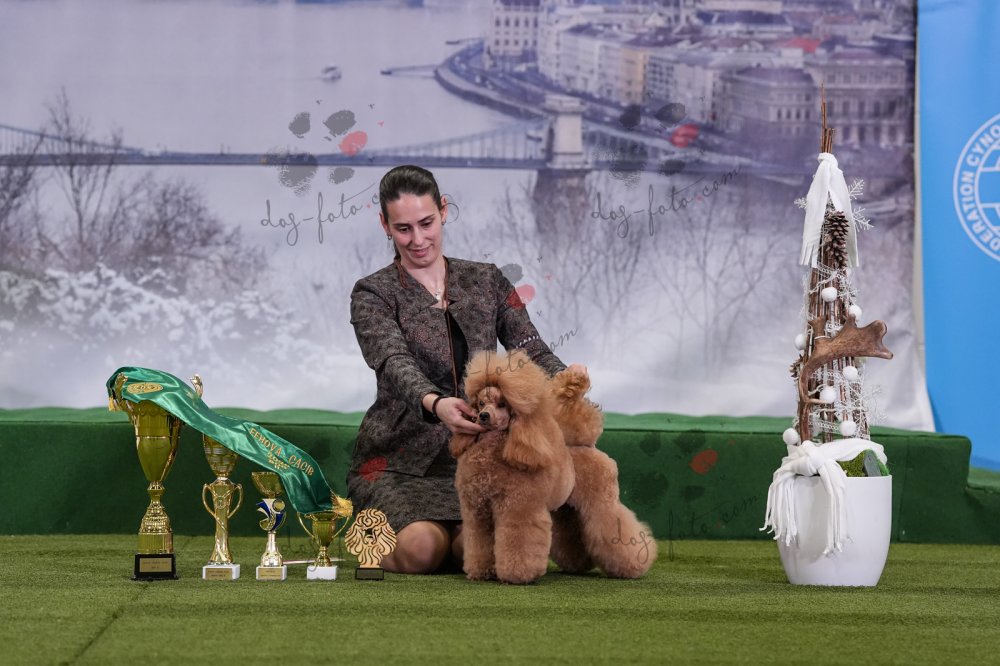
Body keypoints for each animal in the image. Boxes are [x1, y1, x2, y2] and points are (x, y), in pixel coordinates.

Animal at [450, 350, 574, 584]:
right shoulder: (477, 510)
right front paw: (481, 571)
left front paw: (516, 575)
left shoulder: (518, 508)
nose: (483, 416)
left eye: (502, 404)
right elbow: (479, 540)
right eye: (481, 403)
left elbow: (517, 540)